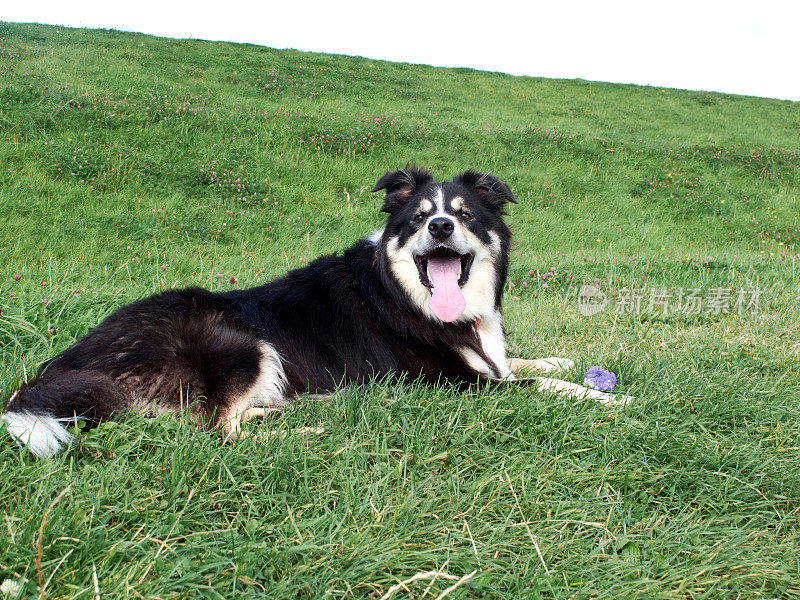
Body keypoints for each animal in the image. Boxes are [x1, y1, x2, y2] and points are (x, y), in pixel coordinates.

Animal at [0, 169, 628, 460]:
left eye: (466, 215)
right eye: (419, 218)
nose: (440, 226)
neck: (408, 296)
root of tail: (59, 368)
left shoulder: (487, 361)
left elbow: (523, 362)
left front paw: (564, 359)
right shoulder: (455, 384)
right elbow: (536, 385)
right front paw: (609, 398)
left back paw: (313, 408)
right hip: (239, 339)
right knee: (218, 432)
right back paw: (309, 429)